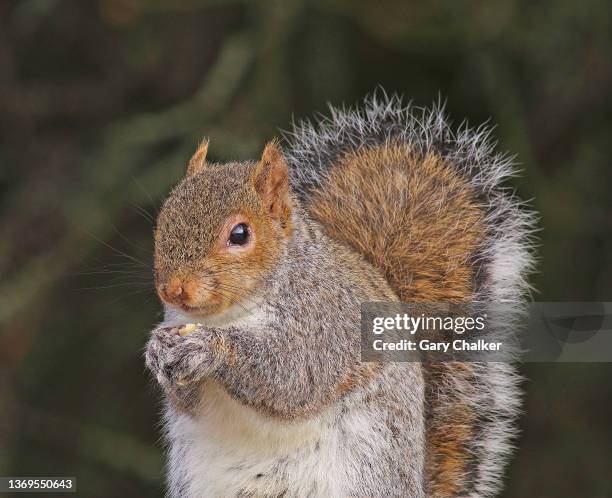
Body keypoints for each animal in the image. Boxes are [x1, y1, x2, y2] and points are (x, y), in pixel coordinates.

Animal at [145, 94, 536, 498]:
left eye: (239, 234)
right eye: (162, 222)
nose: (173, 289)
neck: (230, 314)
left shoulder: (331, 320)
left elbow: (294, 375)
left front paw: (211, 348)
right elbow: (189, 402)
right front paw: (157, 351)